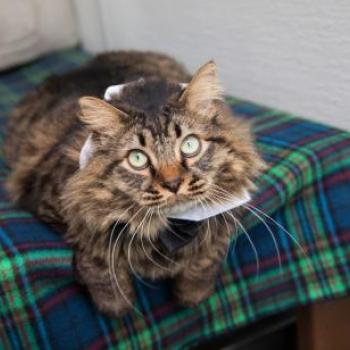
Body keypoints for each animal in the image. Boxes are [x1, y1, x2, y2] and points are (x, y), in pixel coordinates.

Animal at [3, 50, 266, 316]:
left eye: (189, 145)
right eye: (137, 159)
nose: (173, 183)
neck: (172, 228)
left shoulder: (229, 210)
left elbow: (206, 258)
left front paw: (192, 296)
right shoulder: (54, 203)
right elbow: (96, 257)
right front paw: (116, 306)